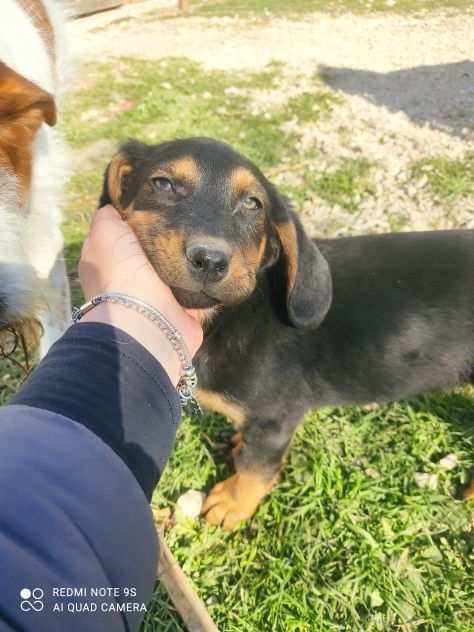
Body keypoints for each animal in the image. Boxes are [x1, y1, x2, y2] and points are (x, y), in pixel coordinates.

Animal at [102, 138, 474, 528]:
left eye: (253, 204)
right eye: (162, 184)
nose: (210, 261)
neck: (228, 314)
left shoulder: (274, 420)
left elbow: (255, 468)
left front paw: (233, 503)